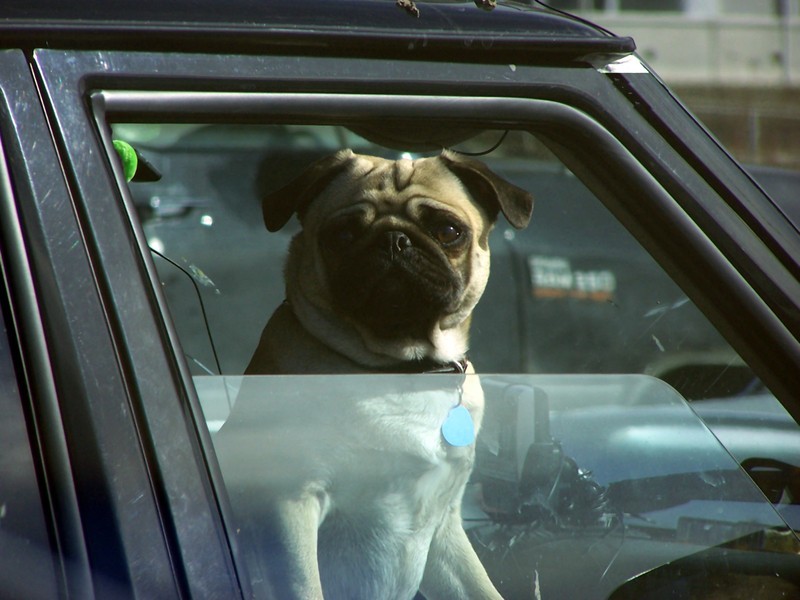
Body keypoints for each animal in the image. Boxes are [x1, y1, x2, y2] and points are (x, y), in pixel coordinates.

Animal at [219, 148, 532, 596]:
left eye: (448, 231)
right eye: (343, 235)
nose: (394, 239)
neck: (404, 369)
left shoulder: (445, 525)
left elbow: (479, 586)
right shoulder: (290, 504)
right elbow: (305, 585)